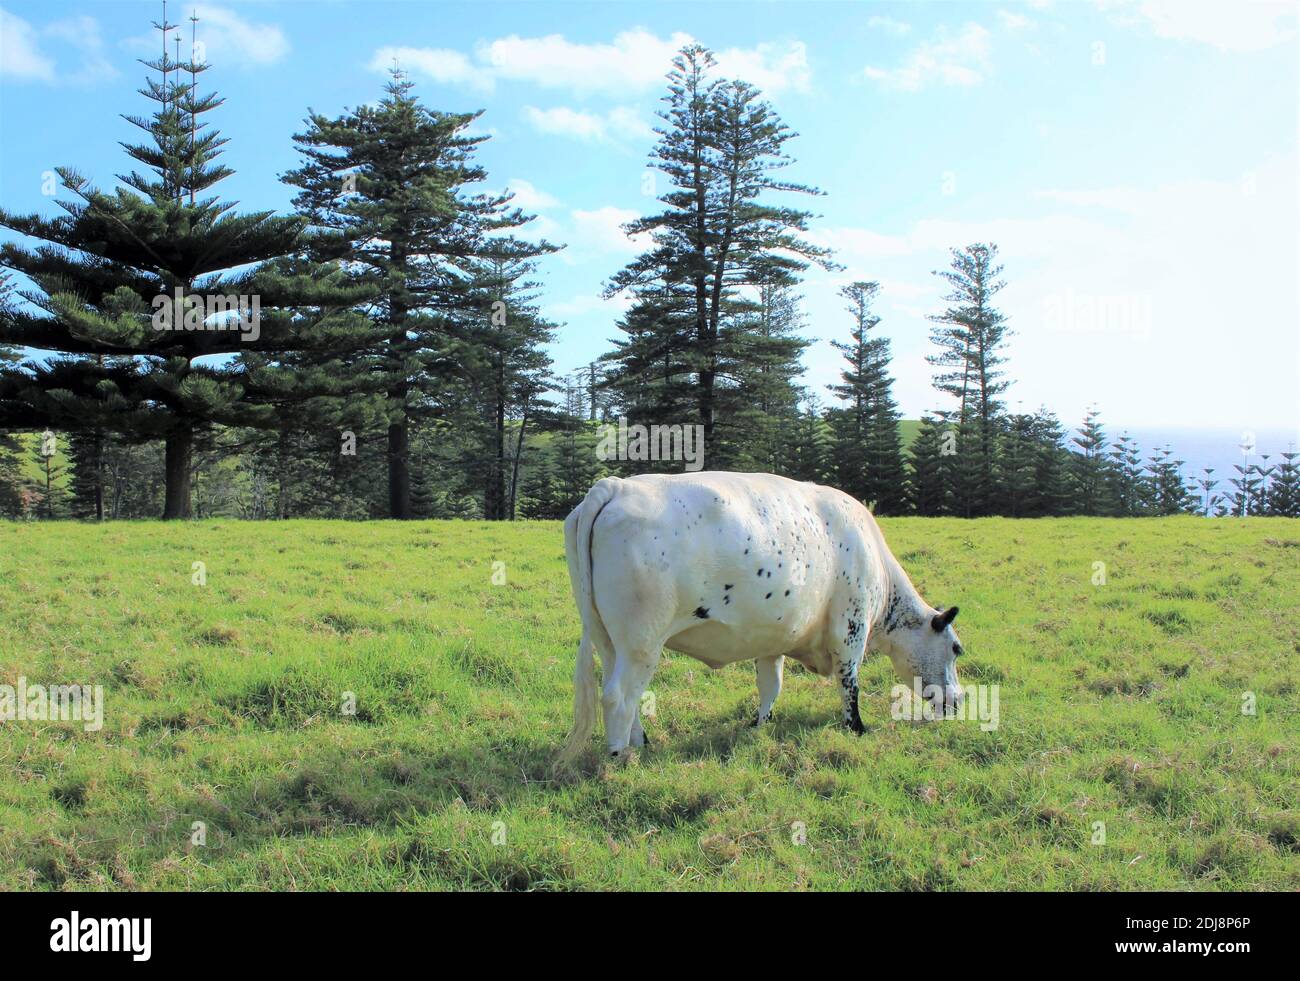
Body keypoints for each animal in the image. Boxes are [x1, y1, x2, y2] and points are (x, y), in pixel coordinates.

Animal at [559, 472, 967, 764]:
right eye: (956, 649)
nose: (959, 701)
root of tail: (615, 486)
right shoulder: (851, 628)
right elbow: (849, 685)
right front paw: (857, 728)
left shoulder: (774, 639)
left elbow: (771, 684)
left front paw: (760, 724)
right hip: (642, 642)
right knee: (618, 696)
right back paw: (620, 756)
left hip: (609, 640)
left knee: (623, 693)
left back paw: (641, 742)